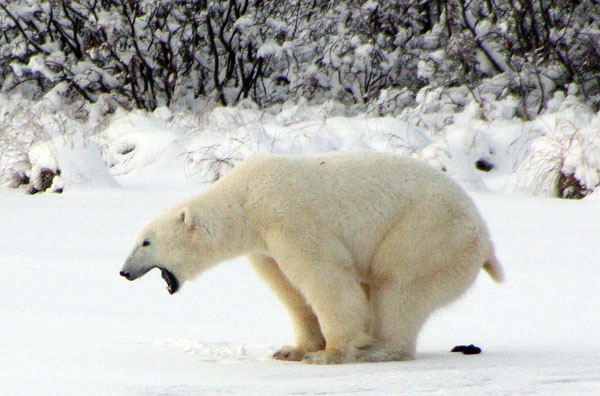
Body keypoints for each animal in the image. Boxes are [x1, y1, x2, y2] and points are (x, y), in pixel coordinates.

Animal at [119, 152, 504, 366]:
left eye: (146, 242)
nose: (123, 272)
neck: (245, 199)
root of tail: (485, 238)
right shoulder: (264, 246)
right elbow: (289, 290)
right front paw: (292, 350)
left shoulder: (289, 216)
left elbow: (324, 276)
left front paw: (329, 353)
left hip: (429, 231)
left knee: (398, 286)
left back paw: (377, 348)